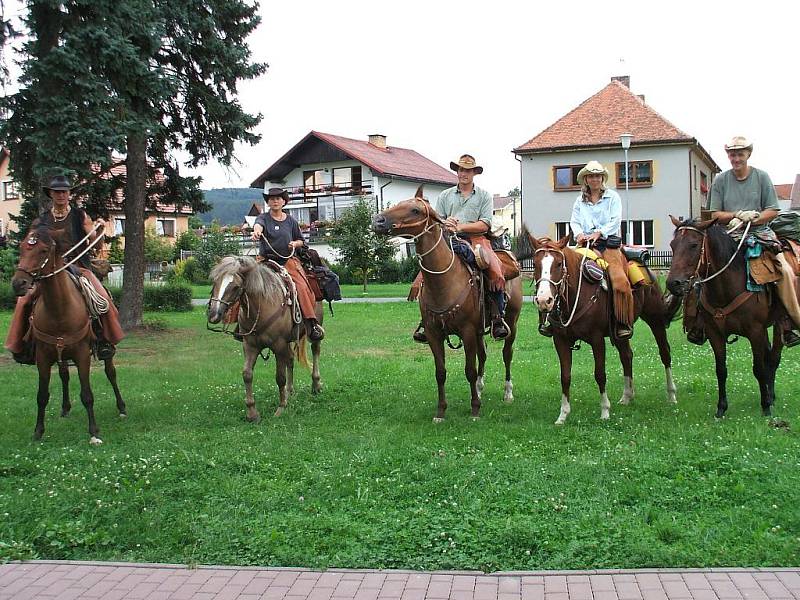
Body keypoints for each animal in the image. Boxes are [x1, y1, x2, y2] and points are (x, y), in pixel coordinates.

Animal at [10, 227, 126, 442]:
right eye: (21, 248)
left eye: (43, 251)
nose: (18, 283)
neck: (59, 308)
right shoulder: (43, 356)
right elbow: (42, 395)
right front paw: (38, 431)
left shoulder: (81, 355)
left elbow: (87, 394)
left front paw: (94, 432)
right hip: (60, 353)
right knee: (64, 375)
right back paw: (65, 408)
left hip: (104, 352)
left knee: (111, 373)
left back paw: (122, 408)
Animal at [208, 255, 324, 420]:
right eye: (215, 282)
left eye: (236, 287)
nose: (214, 314)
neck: (261, 306)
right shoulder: (250, 346)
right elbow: (247, 374)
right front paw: (252, 412)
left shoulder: (278, 345)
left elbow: (280, 377)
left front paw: (281, 408)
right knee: (290, 358)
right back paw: (289, 391)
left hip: (314, 331)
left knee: (315, 350)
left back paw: (316, 384)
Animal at [370, 189, 520, 422]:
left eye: (415, 210)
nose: (377, 221)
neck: (444, 281)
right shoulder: (434, 333)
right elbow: (440, 372)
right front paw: (441, 411)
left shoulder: (467, 331)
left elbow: (469, 369)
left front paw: (475, 409)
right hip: (480, 331)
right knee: (483, 355)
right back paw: (480, 388)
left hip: (511, 323)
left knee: (507, 354)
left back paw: (507, 393)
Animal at [516, 227, 680, 424]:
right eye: (536, 264)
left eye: (558, 264)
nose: (543, 300)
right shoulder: (560, 340)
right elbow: (565, 376)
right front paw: (563, 415)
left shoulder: (597, 339)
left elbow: (600, 374)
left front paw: (605, 411)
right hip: (620, 331)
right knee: (627, 356)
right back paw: (627, 396)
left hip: (655, 320)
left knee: (665, 353)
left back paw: (671, 395)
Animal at [664, 216, 784, 418]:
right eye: (673, 245)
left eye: (694, 245)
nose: (673, 284)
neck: (727, 289)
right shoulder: (715, 334)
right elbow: (721, 370)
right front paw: (721, 408)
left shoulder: (755, 331)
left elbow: (758, 368)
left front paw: (766, 407)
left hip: (778, 324)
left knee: (773, 358)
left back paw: (771, 397)